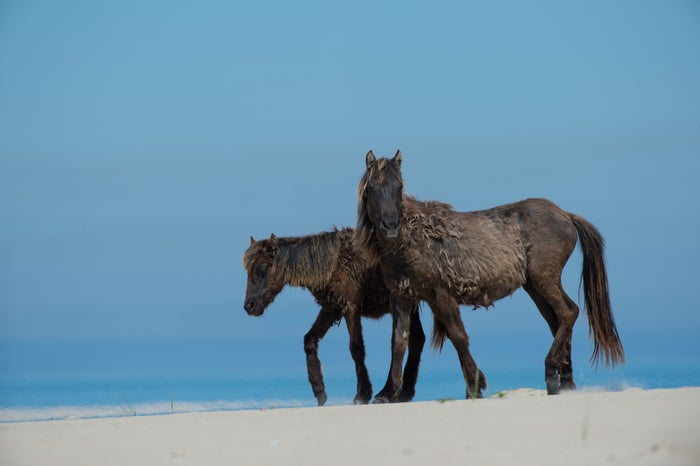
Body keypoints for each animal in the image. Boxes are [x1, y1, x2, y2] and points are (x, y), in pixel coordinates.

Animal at [242, 227, 425, 405]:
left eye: (262, 269)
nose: (249, 306)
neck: (335, 264)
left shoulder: (350, 308)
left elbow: (357, 349)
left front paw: (362, 394)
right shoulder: (331, 309)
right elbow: (309, 340)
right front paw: (319, 390)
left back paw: (389, 393)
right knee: (416, 340)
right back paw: (404, 393)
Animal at [354, 150, 624, 401]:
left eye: (399, 187)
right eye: (373, 187)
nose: (391, 226)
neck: (411, 239)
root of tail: (565, 214)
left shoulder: (441, 295)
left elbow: (458, 337)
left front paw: (474, 388)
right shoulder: (401, 297)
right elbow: (399, 342)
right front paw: (386, 393)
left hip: (544, 280)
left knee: (568, 313)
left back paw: (551, 373)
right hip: (534, 286)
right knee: (557, 320)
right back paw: (565, 384)